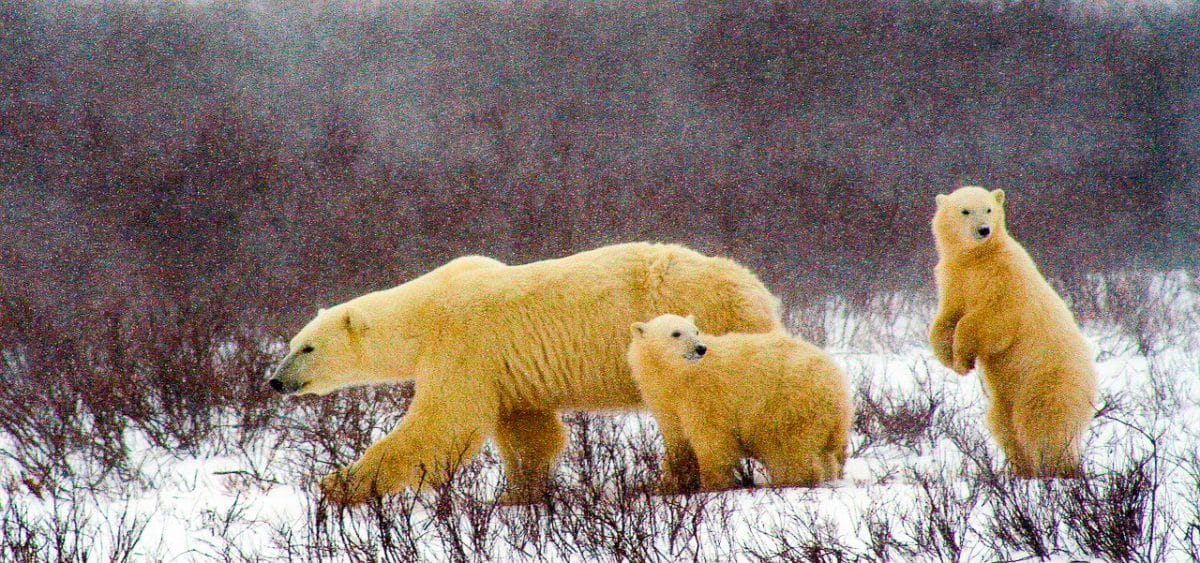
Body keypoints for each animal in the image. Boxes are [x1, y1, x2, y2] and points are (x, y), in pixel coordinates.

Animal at [268, 242, 783, 505]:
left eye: (307, 346)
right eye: (291, 344)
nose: (275, 381)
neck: (424, 311)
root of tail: (755, 288)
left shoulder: (463, 342)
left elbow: (442, 426)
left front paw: (338, 485)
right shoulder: (506, 369)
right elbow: (529, 432)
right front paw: (518, 493)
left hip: (705, 327)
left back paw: (668, 484)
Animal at [626, 314, 852, 491]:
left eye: (696, 331)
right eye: (676, 333)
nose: (700, 348)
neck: (679, 376)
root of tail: (838, 382)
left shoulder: (705, 395)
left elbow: (710, 438)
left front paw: (712, 484)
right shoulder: (666, 400)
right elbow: (677, 438)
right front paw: (669, 484)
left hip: (789, 403)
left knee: (788, 449)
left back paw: (790, 480)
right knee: (823, 453)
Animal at [929, 186, 1097, 478]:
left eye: (988, 209)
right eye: (965, 210)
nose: (983, 230)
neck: (978, 258)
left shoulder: (1005, 278)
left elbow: (990, 320)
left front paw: (963, 358)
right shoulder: (955, 278)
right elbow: (946, 318)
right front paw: (950, 359)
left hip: (1047, 379)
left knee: (1042, 422)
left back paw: (1057, 469)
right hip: (1004, 397)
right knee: (1003, 425)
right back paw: (1018, 470)